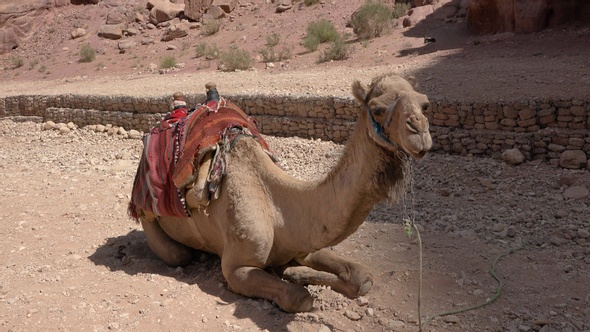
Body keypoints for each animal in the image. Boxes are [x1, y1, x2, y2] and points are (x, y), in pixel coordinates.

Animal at [132, 73, 432, 314]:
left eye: (425, 104)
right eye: (378, 109)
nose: (420, 132)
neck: (279, 208)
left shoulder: (304, 241)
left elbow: (362, 277)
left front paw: (296, 272)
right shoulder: (236, 269)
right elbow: (299, 298)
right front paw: (295, 277)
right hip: (150, 219)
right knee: (178, 255)